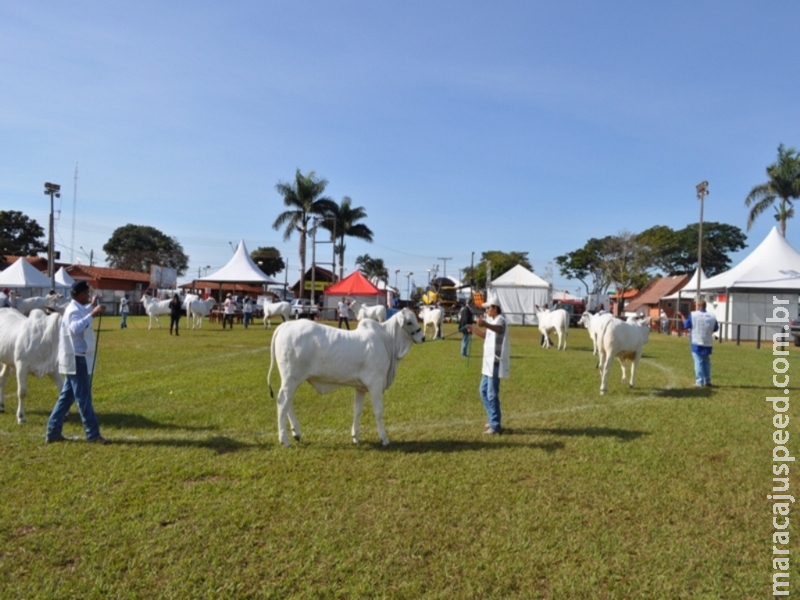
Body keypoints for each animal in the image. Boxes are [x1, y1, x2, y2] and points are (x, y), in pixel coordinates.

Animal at [268, 310, 428, 446]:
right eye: (409, 322)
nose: (423, 337)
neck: (387, 340)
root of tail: (285, 325)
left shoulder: (360, 387)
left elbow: (357, 410)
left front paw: (355, 437)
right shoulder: (375, 384)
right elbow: (378, 411)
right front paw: (384, 439)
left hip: (292, 379)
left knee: (288, 401)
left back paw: (296, 433)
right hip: (291, 378)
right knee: (282, 401)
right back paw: (284, 439)